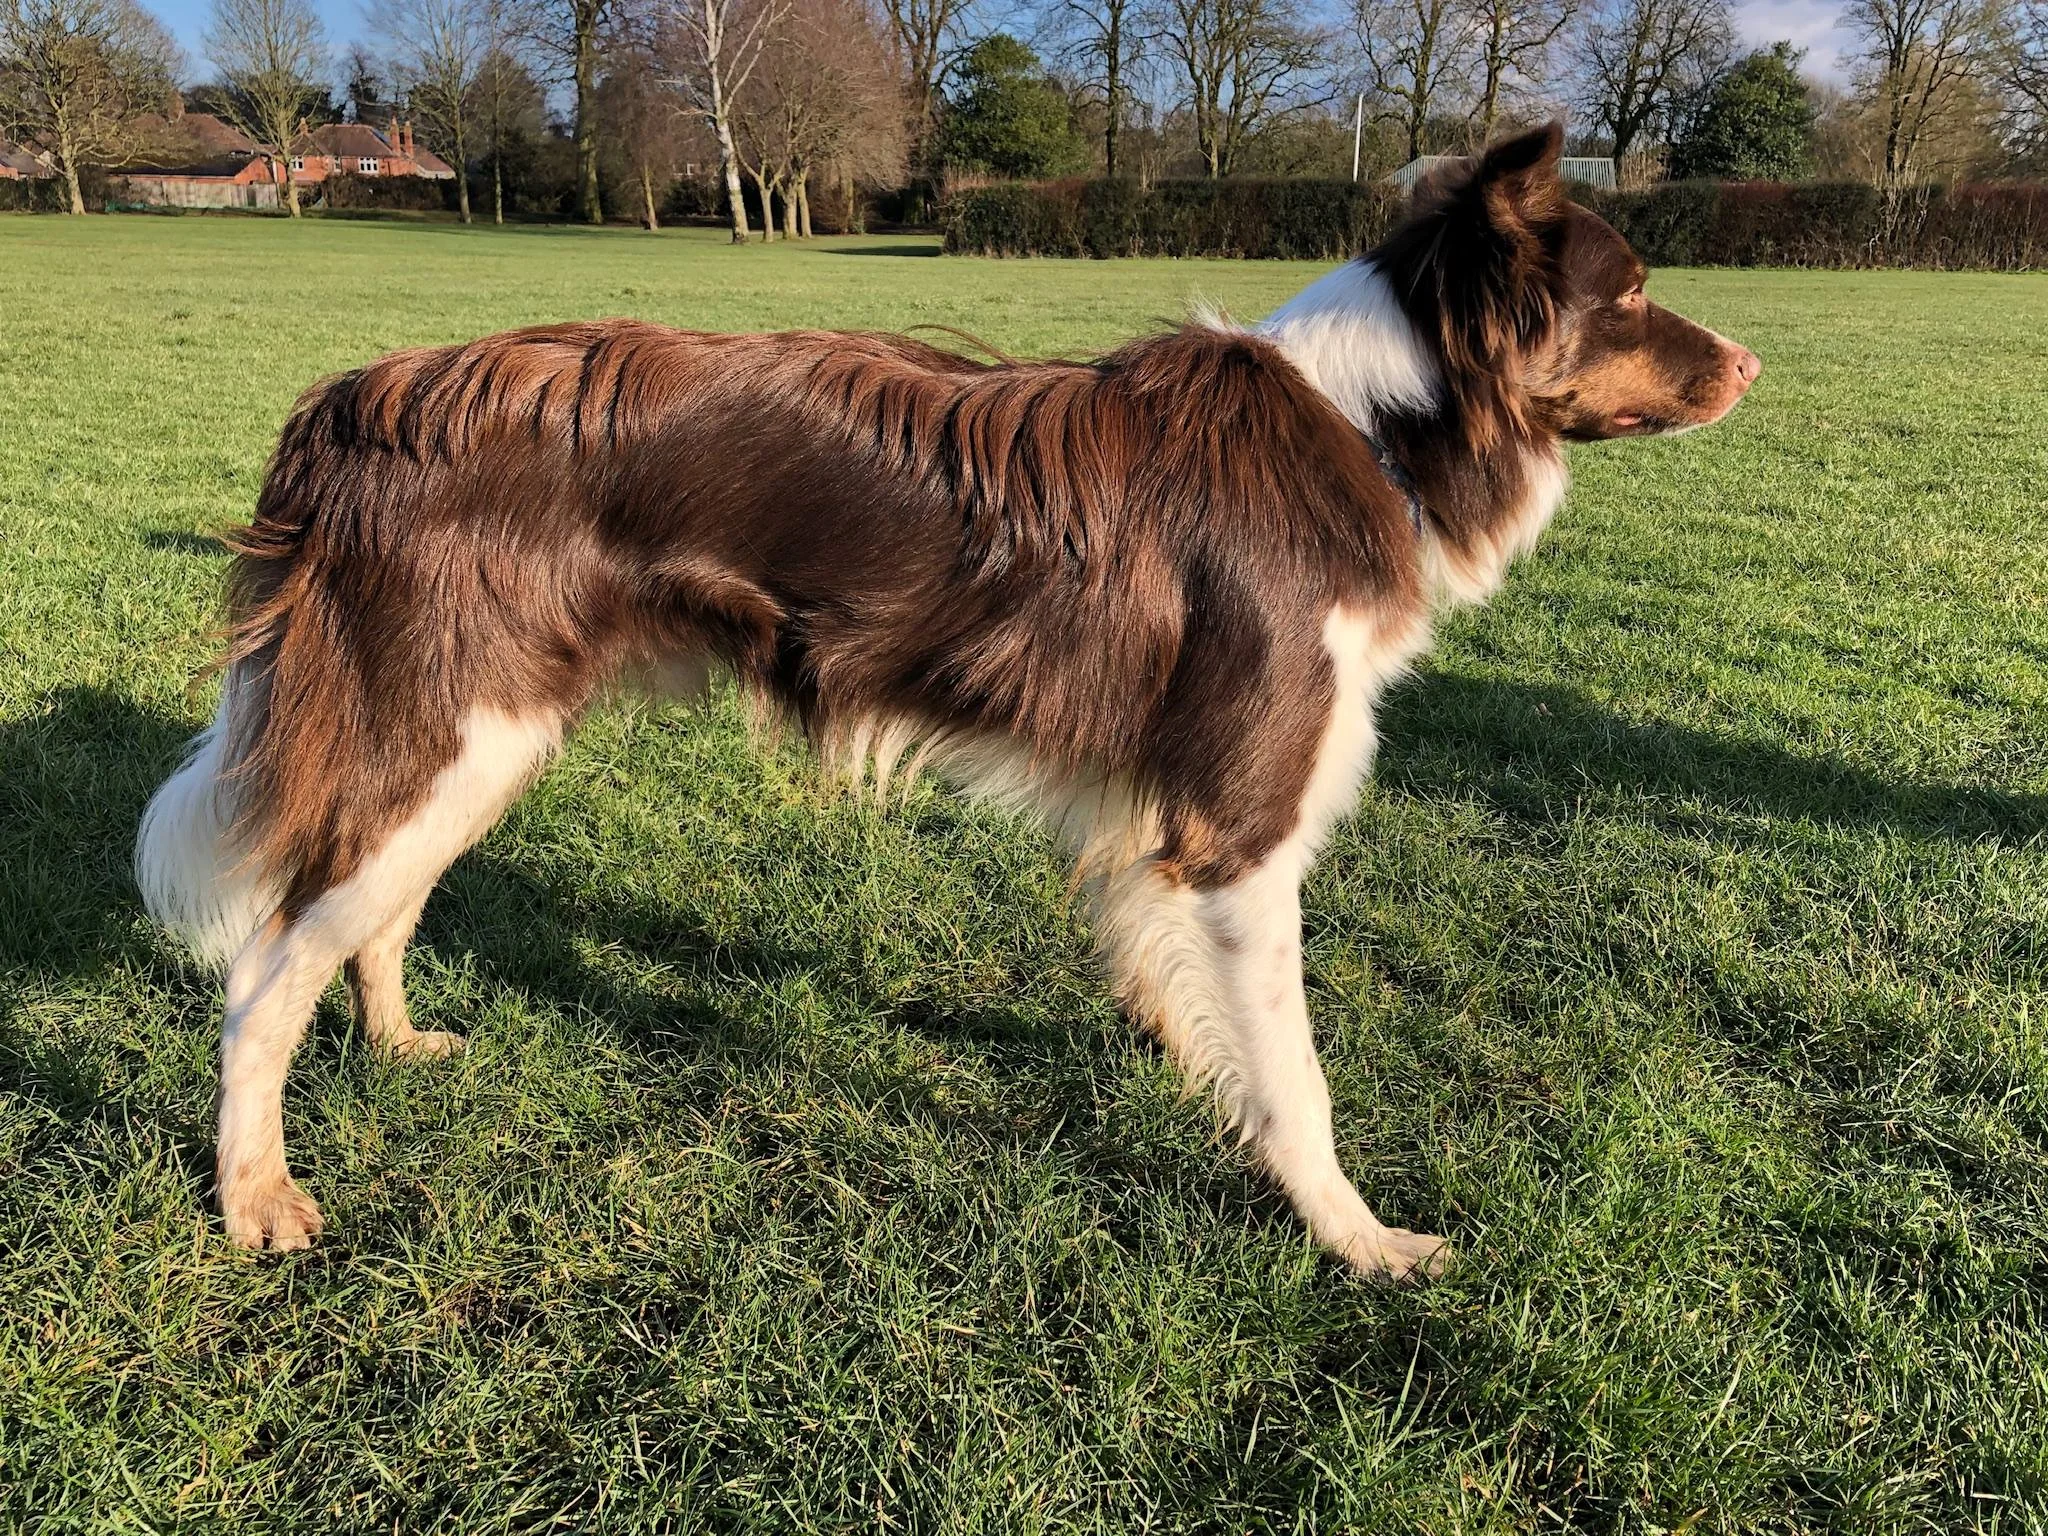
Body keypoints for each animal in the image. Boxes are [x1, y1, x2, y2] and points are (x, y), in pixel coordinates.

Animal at [136, 125, 1759, 1278]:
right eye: (1630, 294)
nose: (1749, 360)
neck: (1378, 425)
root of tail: (357, 396)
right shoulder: (1241, 826)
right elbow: (1297, 1072)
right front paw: (1355, 1237)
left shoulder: (1154, 822)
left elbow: (1178, 994)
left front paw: (1202, 1093)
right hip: (444, 732)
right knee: (262, 970)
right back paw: (256, 1196)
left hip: (481, 739)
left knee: (370, 911)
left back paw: (400, 1046)